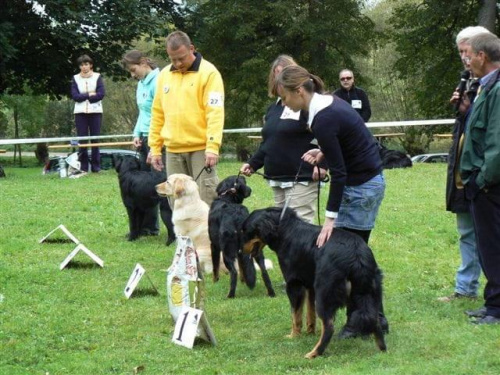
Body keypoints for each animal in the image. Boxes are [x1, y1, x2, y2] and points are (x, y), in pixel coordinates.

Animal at [242, 207, 386, 360]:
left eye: (245, 231)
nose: (240, 249)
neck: (285, 229)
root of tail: (356, 254)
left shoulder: (294, 284)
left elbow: (296, 315)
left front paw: (294, 335)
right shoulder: (310, 286)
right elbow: (310, 313)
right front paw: (310, 332)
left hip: (325, 291)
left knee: (329, 327)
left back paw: (314, 353)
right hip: (368, 292)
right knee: (375, 319)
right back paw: (382, 349)